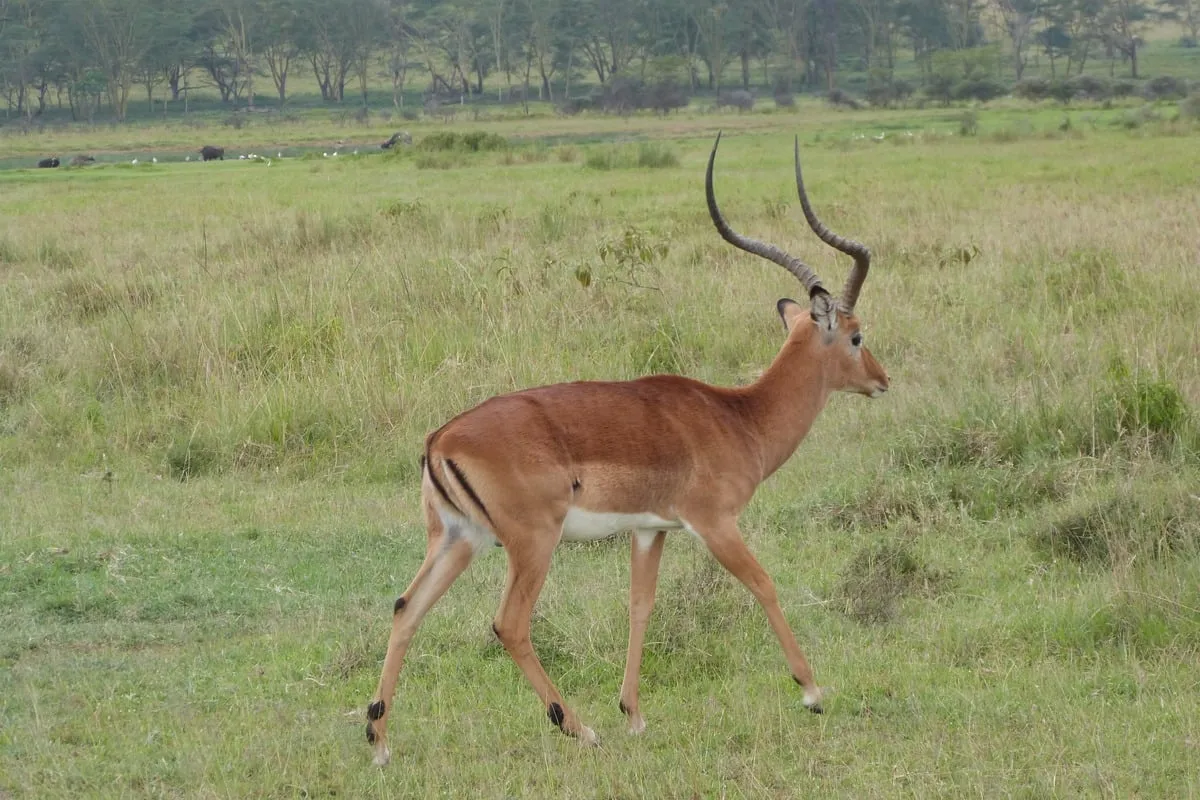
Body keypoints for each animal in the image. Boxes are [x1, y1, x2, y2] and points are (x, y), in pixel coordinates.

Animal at [365, 133, 889, 765]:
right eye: (857, 335)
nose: (882, 380)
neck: (737, 417)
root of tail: (441, 438)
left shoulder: (649, 529)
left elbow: (640, 606)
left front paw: (634, 714)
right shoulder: (714, 523)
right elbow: (763, 582)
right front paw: (812, 691)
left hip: (456, 538)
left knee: (406, 607)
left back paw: (379, 741)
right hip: (532, 543)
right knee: (509, 623)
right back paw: (577, 727)